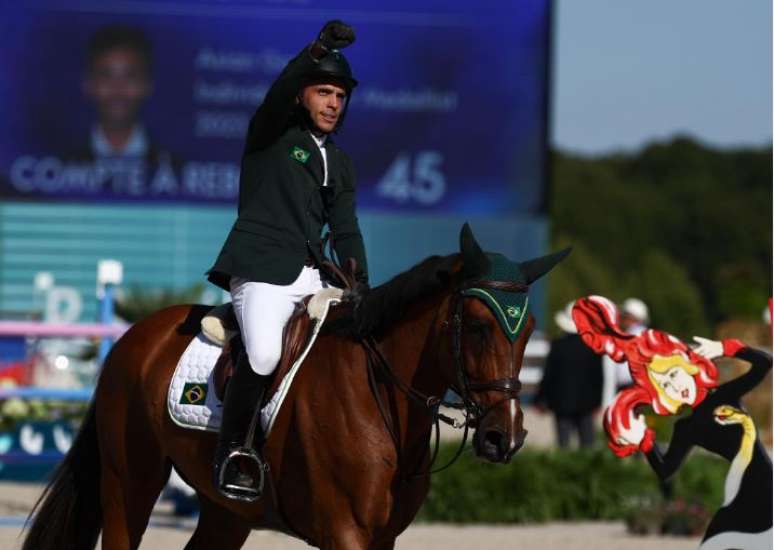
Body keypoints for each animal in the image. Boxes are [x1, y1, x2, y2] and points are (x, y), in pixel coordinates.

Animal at [22, 225, 568, 550]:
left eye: (528, 328)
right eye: (476, 326)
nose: (505, 437)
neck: (381, 398)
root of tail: (132, 338)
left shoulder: (383, 538)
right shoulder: (345, 534)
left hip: (227, 511)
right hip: (129, 483)